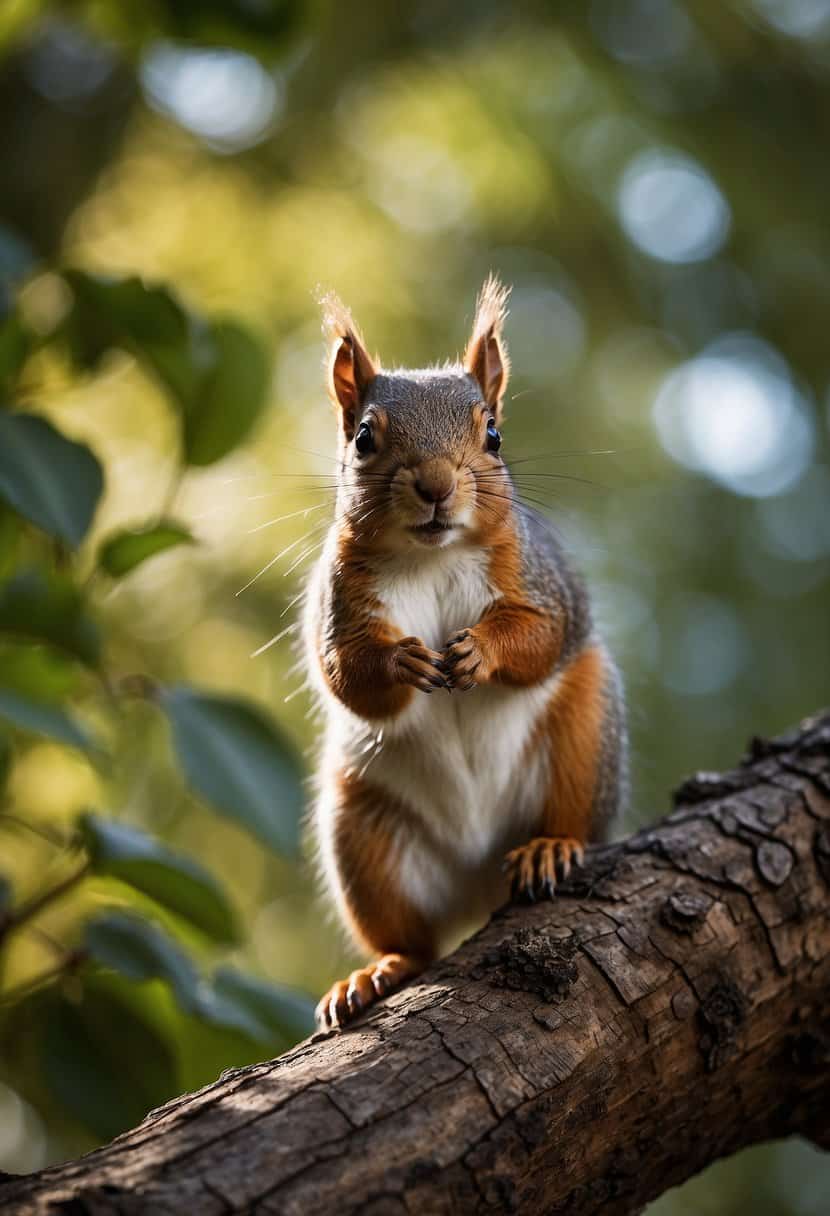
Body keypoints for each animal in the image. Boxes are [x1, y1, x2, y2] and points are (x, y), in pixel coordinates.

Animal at [303, 276, 622, 1026]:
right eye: (364, 438)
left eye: (494, 435)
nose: (436, 485)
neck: (433, 557)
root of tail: (477, 879)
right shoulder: (338, 600)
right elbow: (344, 674)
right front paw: (401, 662)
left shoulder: (539, 579)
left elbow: (541, 634)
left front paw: (479, 649)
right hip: (364, 832)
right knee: (412, 942)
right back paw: (377, 972)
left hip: (581, 741)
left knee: (572, 815)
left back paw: (550, 848)